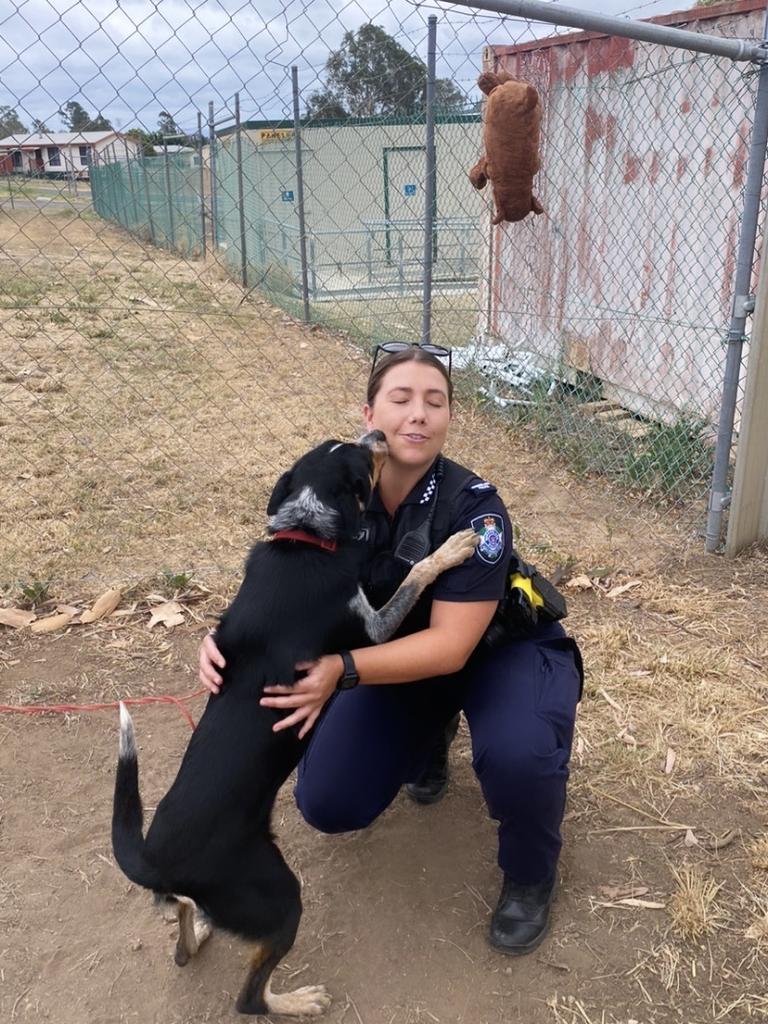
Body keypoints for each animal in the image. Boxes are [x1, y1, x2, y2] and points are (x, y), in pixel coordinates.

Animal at [112, 432, 479, 1015]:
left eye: (347, 443)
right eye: (363, 456)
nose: (379, 435)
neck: (303, 538)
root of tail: (153, 859)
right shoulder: (374, 627)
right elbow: (417, 573)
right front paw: (454, 549)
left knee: (183, 933)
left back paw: (200, 933)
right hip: (281, 899)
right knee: (249, 997)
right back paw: (298, 1001)